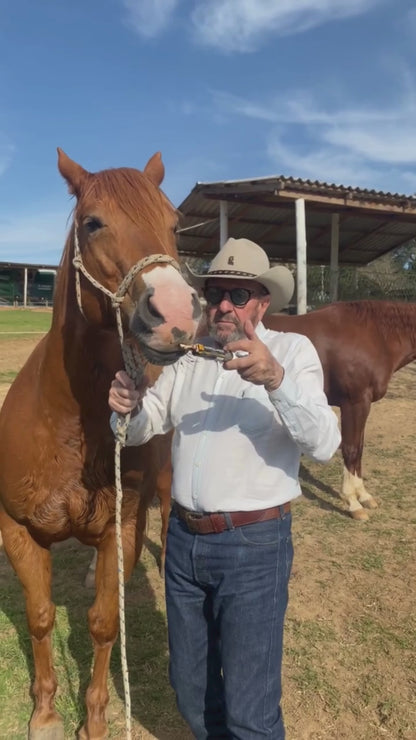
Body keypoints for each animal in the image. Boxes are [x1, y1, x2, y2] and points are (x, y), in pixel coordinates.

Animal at [0, 148, 201, 740]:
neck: (70, 424)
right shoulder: (17, 529)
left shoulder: (122, 529)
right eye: (92, 222)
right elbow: (41, 615)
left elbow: (104, 623)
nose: (177, 314)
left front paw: (94, 719)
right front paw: (45, 714)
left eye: (174, 224)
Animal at [265, 300, 416, 519]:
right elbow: (351, 448)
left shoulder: (363, 405)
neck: (376, 335)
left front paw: (364, 496)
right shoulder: (355, 403)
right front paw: (353, 503)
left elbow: (359, 448)